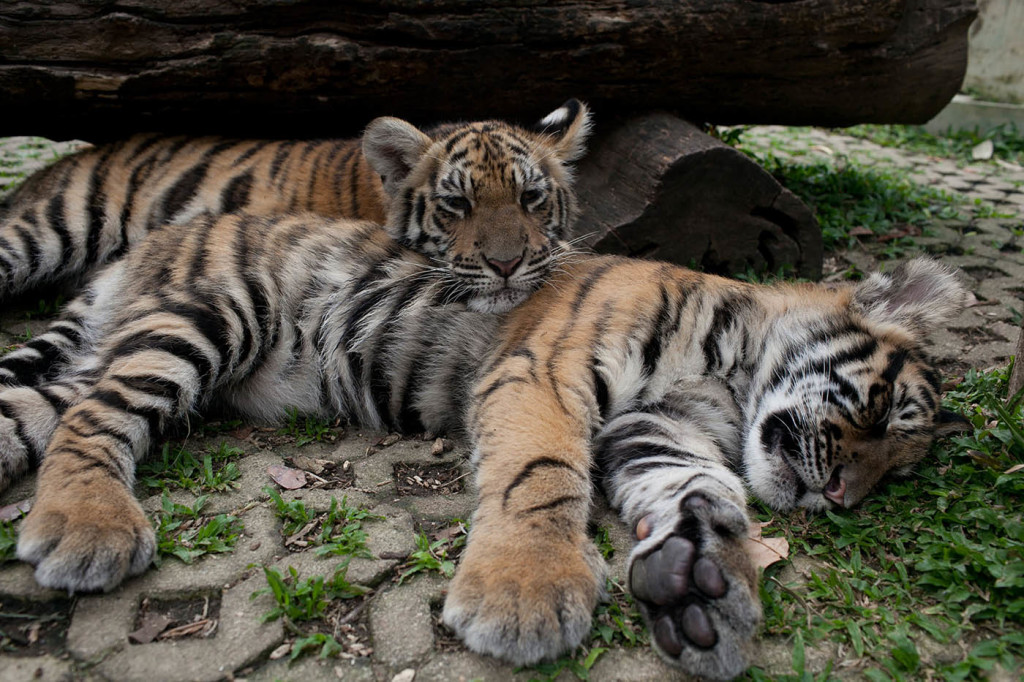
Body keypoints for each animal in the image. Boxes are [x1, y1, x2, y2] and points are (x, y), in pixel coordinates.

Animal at [0, 208, 966, 678]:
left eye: (892, 474)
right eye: (885, 412)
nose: (839, 497)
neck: (734, 369)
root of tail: (149, 245)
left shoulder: (655, 426)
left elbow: (693, 483)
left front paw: (702, 581)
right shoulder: (546, 372)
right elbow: (542, 474)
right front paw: (524, 593)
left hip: (93, 367)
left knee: (39, 411)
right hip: (209, 317)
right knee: (98, 420)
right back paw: (89, 529)